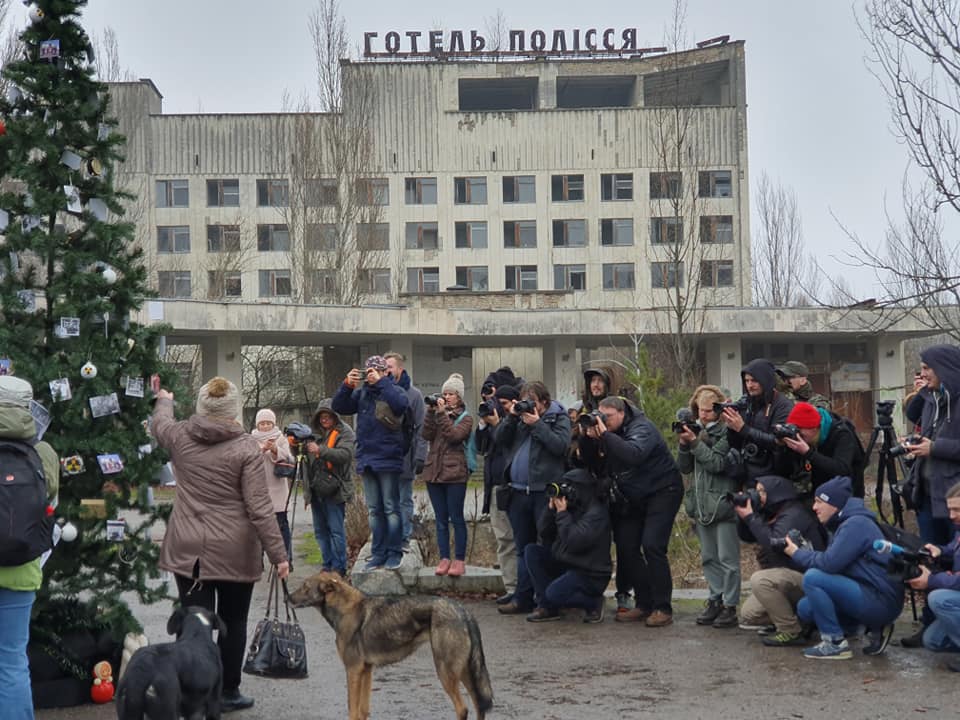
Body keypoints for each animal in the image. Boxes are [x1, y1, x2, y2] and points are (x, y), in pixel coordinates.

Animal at [288, 572, 492, 716]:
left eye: (305, 586)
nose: (287, 598)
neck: (346, 609)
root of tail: (463, 610)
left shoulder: (353, 670)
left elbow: (352, 710)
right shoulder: (366, 670)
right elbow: (362, 711)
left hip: (446, 672)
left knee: (463, 709)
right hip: (465, 671)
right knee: (479, 705)